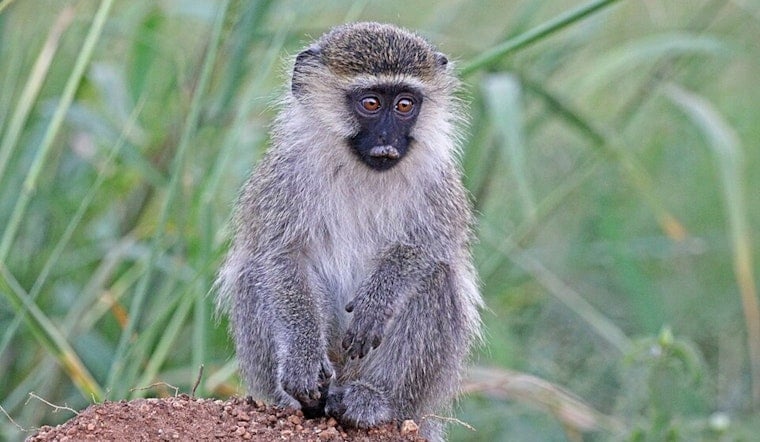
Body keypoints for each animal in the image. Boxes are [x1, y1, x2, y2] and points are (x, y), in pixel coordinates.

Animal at [216, 22, 482, 441]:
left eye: (404, 105)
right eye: (370, 103)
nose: (387, 140)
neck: (362, 170)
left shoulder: (440, 181)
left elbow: (427, 249)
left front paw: (377, 300)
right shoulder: (284, 174)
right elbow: (280, 255)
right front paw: (302, 362)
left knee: (438, 279)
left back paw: (371, 398)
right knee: (254, 273)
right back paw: (304, 400)